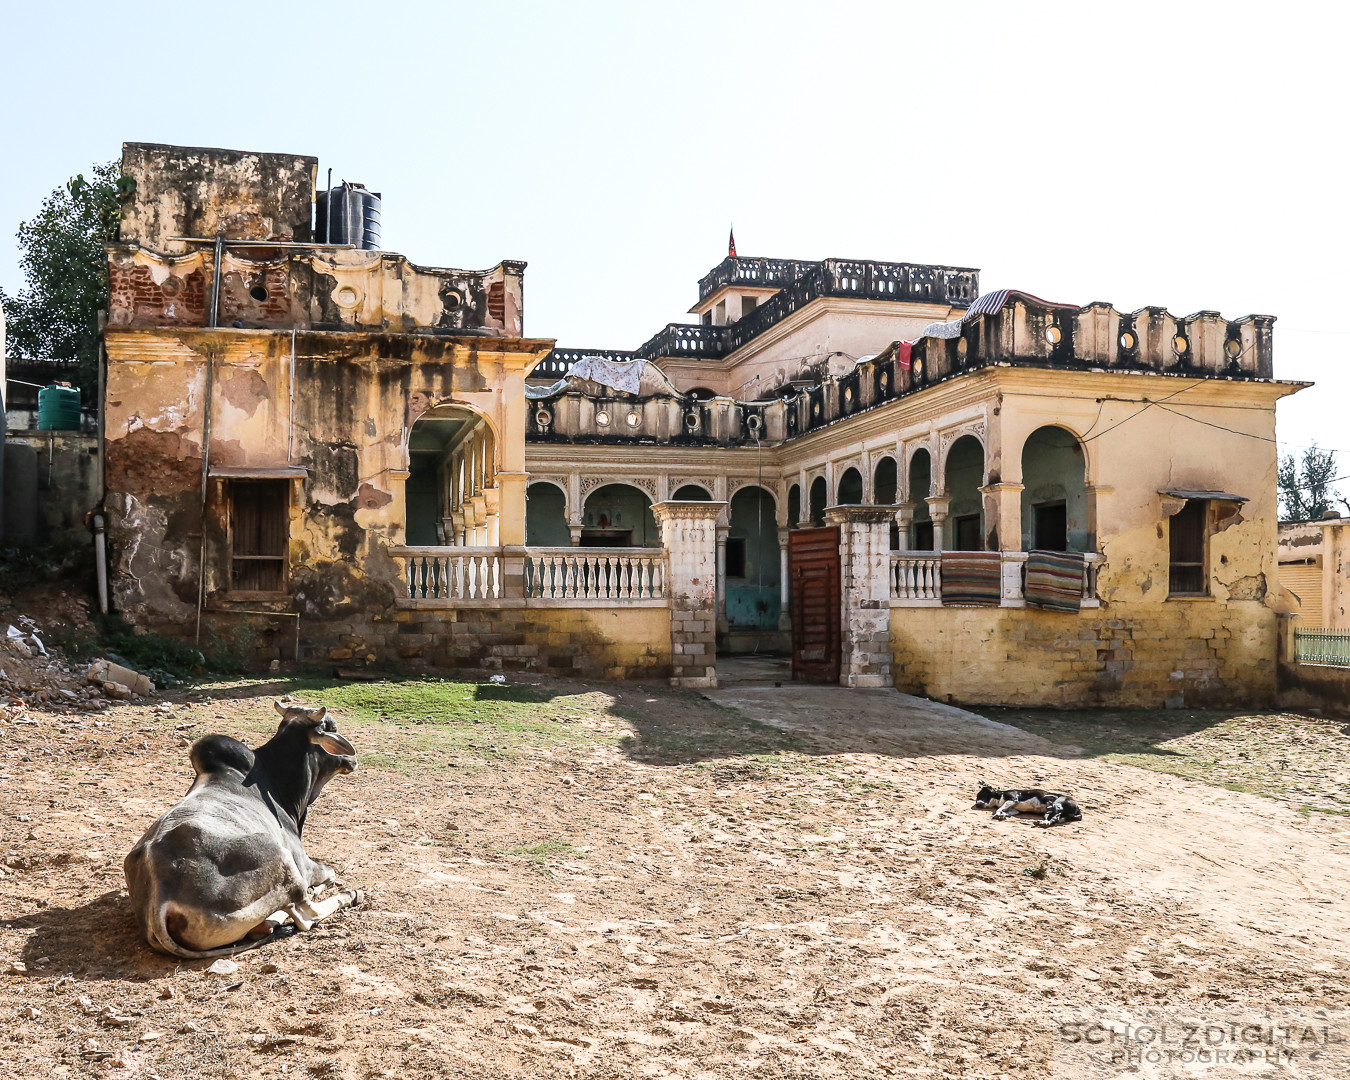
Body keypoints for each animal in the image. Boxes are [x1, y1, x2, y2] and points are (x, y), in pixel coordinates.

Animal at [122, 702, 361, 955]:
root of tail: (159, 898)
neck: (275, 782)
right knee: (306, 914)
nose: (352, 760)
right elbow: (330, 874)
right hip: (282, 860)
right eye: (331, 727)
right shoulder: (304, 864)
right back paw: (348, 895)